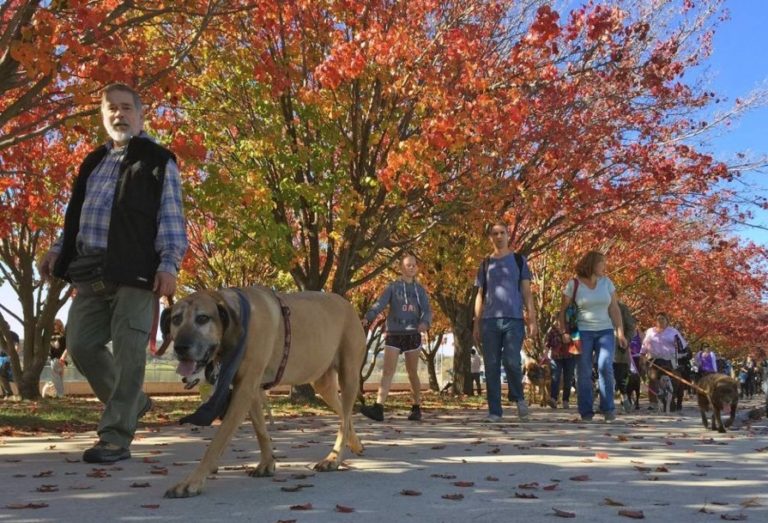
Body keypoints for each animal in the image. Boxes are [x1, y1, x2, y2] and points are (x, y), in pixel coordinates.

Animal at [162, 286, 366, 500]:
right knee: (345, 415)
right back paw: (354, 443)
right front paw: (267, 463)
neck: (239, 319)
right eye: (176, 319)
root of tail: (347, 304)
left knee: (345, 416)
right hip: (322, 383)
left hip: (349, 374)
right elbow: (260, 430)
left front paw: (191, 482)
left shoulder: (244, 388)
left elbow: (217, 442)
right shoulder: (251, 389)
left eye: (202, 318)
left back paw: (333, 458)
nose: (180, 347)